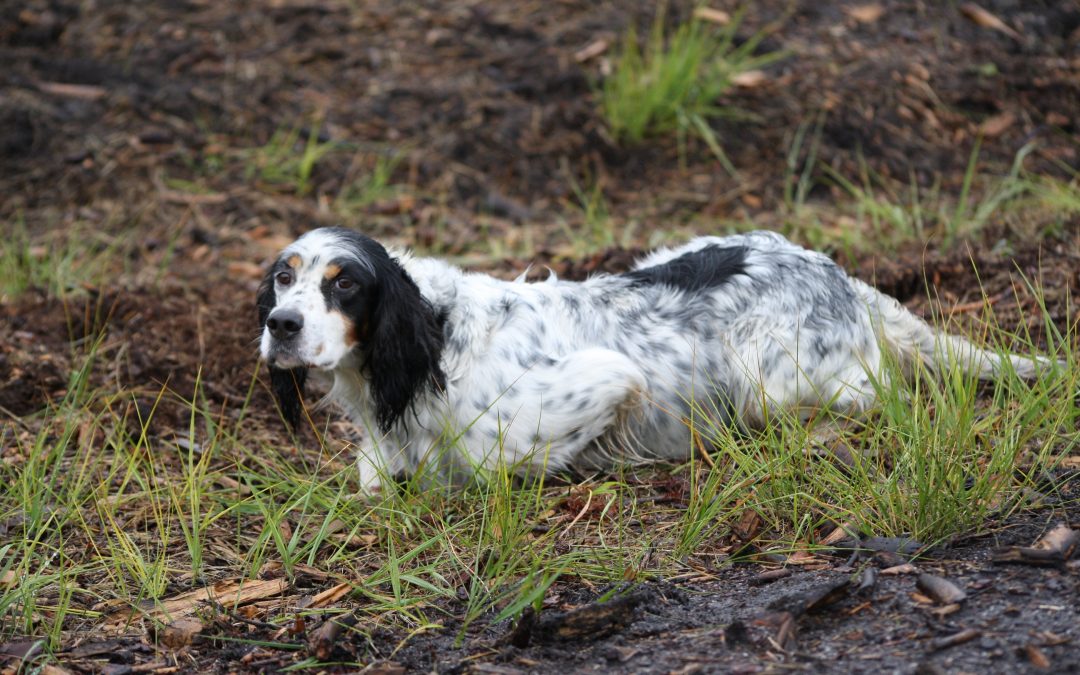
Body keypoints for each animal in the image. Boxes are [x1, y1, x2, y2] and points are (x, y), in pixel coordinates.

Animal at [257, 226, 1049, 490]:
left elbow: (489, 467)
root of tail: (836, 270)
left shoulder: (610, 378)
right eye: (284, 276)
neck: (431, 343)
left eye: (346, 283)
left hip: (770, 384)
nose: (280, 324)